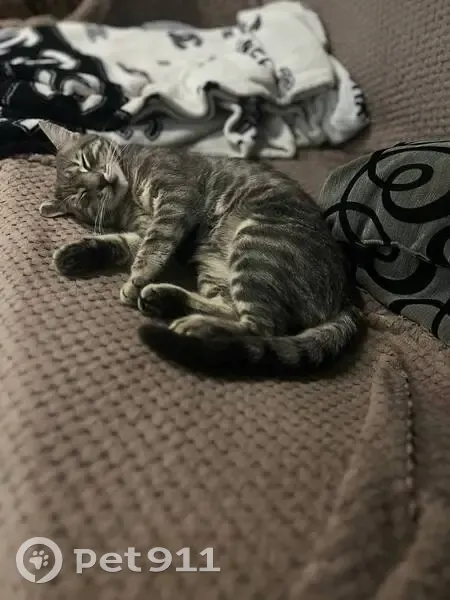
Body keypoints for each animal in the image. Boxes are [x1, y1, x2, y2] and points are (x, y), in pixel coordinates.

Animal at [39, 120, 364, 376]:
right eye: (84, 195)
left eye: (86, 161)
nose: (101, 181)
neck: (129, 194)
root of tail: (348, 297)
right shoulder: (148, 228)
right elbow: (123, 243)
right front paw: (77, 255)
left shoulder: (176, 196)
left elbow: (154, 244)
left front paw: (137, 276)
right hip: (215, 265)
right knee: (234, 310)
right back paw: (167, 300)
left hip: (257, 246)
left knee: (262, 328)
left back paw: (195, 325)